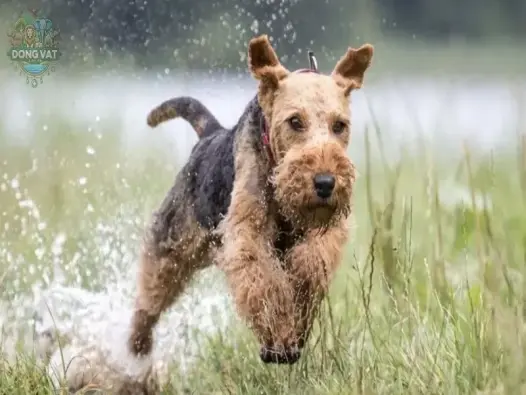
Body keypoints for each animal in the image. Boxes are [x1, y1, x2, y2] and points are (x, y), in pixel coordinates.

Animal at [129, 34, 376, 366]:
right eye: (295, 121)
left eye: (340, 125)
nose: (325, 183)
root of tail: (210, 134)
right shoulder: (248, 233)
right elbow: (265, 282)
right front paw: (278, 339)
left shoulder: (323, 231)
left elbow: (309, 266)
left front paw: (296, 322)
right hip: (173, 244)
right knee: (149, 298)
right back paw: (137, 344)